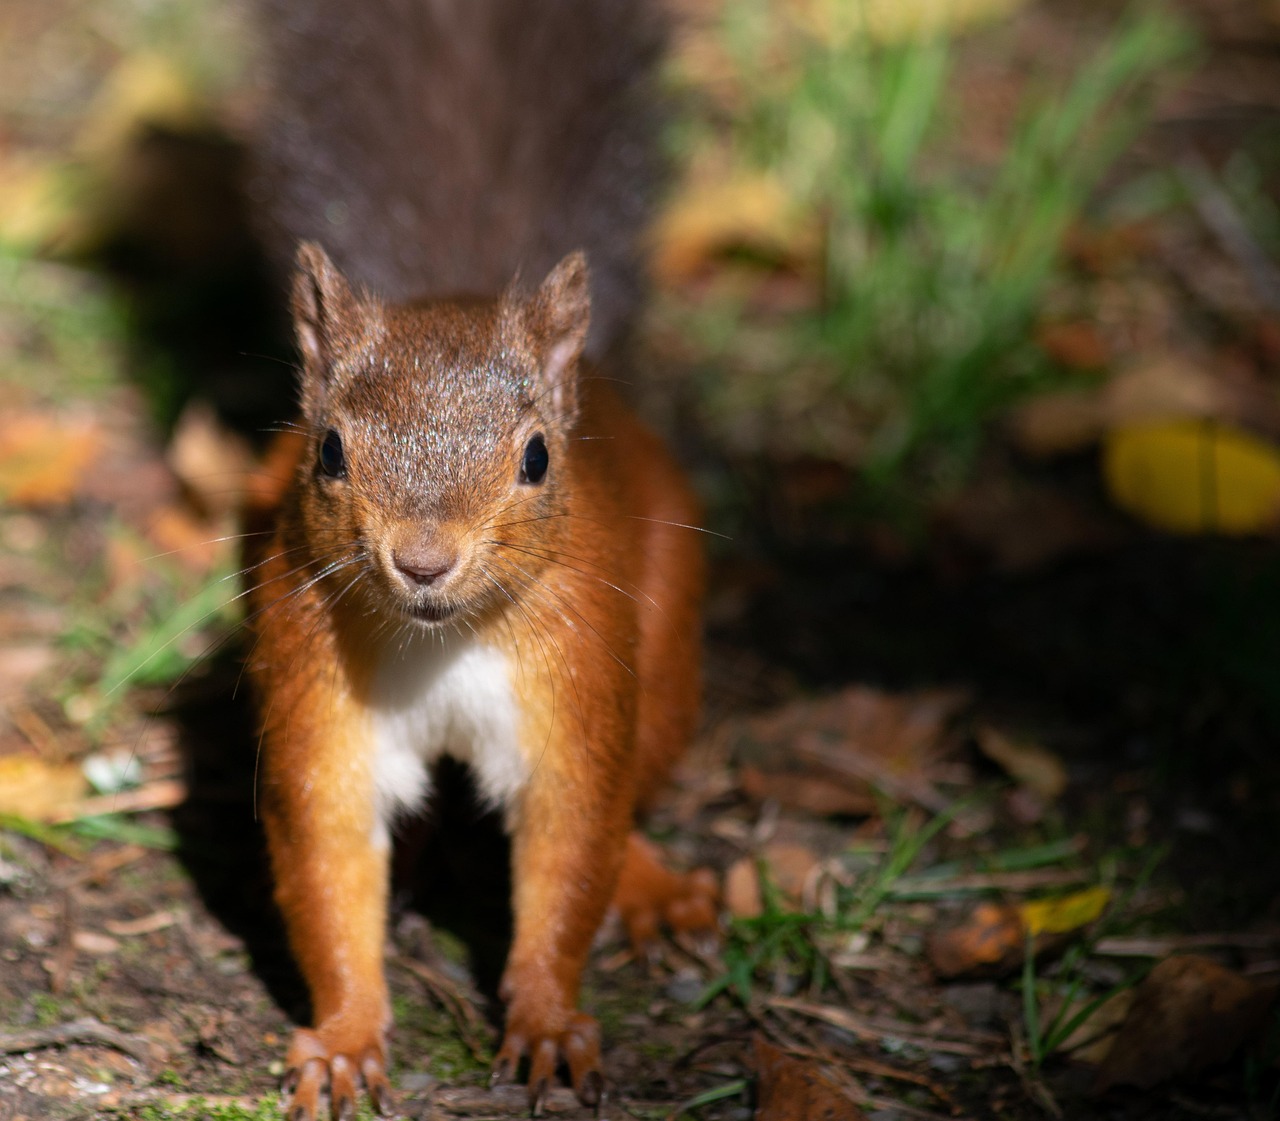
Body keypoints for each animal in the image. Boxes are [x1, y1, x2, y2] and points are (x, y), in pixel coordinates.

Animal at [242, 1, 716, 1117]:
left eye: (537, 456)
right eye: (329, 450)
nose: (421, 561)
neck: (442, 645)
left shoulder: (573, 684)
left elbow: (570, 839)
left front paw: (546, 1019)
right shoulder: (316, 689)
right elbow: (329, 858)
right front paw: (345, 1036)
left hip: (666, 649)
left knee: (636, 784)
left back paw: (653, 884)